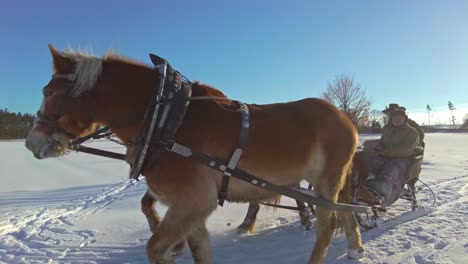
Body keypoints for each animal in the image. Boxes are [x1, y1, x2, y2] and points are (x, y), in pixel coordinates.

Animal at [25, 44, 364, 262]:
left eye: (49, 92)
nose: (30, 143)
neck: (166, 119)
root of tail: (344, 117)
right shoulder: (192, 208)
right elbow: (198, 249)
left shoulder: (192, 202)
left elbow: (155, 248)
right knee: (346, 209)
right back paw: (355, 246)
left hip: (326, 181)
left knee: (327, 225)